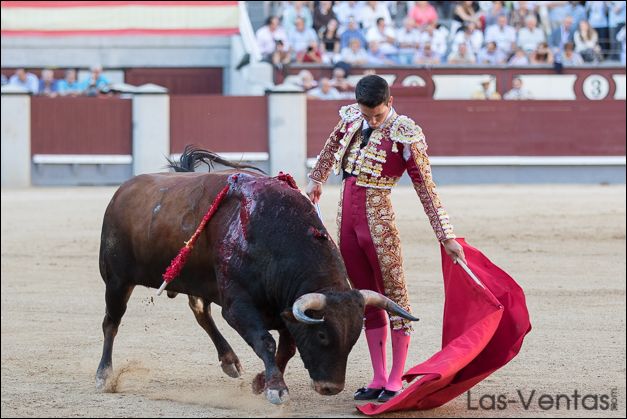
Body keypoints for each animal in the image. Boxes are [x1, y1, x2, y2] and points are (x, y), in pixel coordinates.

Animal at [95, 147, 420, 404]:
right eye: (322, 334)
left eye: (354, 337)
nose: (330, 387)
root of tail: (121, 192)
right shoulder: (238, 306)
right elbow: (266, 342)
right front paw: (276, 389)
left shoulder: (286, 310)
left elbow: (286, 349)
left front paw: (261, 382)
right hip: (116, 280)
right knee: (111, 322)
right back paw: (103, 375)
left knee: (200, 311)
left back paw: (230, 362)